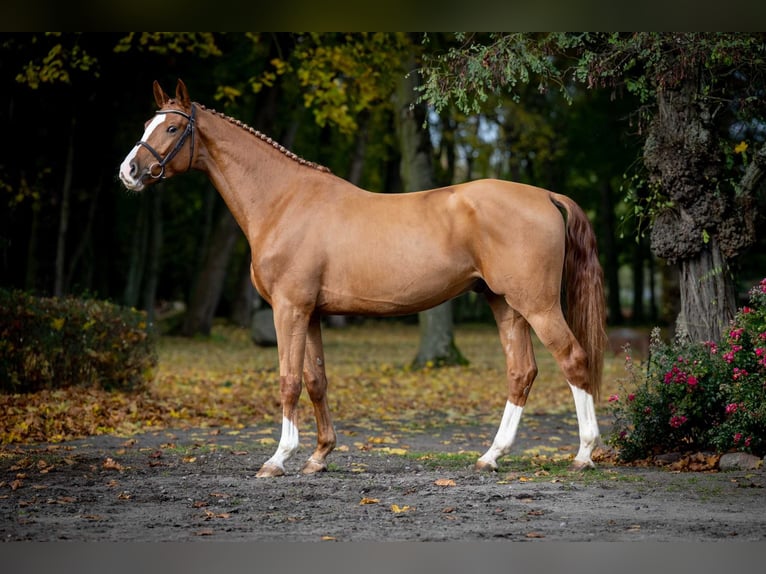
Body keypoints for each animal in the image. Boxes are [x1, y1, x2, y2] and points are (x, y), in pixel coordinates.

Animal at [119, 79, 607, 478]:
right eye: (145, 123)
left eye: (170, 128)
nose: (129, 172)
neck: (284, 201)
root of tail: (545, 195)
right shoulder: (311, 313)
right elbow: (316, 380)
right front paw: (318, 456)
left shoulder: (289, 309)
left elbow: (288, 380)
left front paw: (278, 459)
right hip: (504, 304)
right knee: (521, 372)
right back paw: (492, 456)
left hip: (537, 305)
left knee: (574, 360)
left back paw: (584, 454)